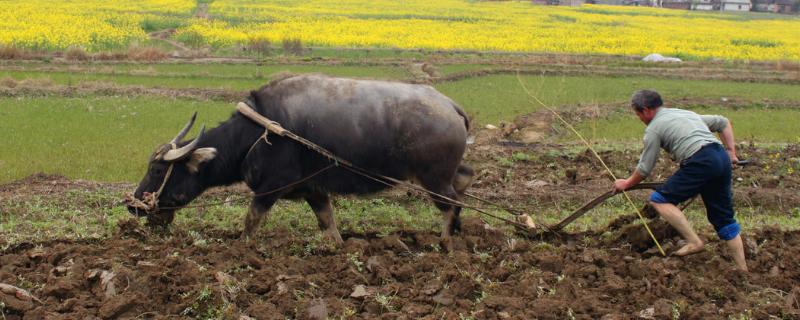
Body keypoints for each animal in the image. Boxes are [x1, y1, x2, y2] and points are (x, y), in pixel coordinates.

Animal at [127, 74, 472, 245]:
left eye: (157, 169)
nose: (133, 205)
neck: (258, 132)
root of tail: (451, 106)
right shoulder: (314, 190)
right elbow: (327, 222)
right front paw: (336, 246)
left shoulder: (270, 187)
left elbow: (251, 221)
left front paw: (241, 247)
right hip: (446, 173)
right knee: (464, 182)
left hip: (434, 178)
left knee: (451, 204)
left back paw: (446, 241)